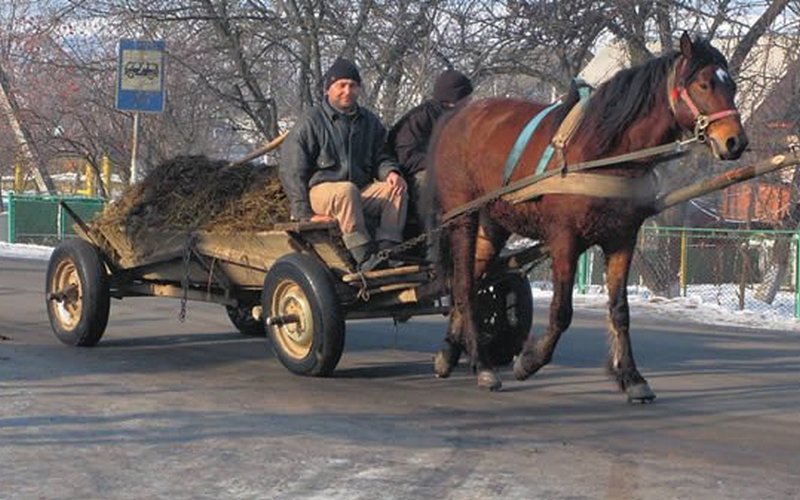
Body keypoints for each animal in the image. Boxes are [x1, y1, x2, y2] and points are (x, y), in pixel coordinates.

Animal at [428, 32, 748, 402]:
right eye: (703, 84)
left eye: (732, 85)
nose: (735, 141)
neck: (604, 152)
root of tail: (457, 118)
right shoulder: (564, 240)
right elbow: (562, 311)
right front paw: (530, 361)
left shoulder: (622, 239)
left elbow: (620, 311)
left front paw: (632, 377)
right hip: (463, 218)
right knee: (465, 287)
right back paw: (482, 366)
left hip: (493, 225)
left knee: (471, 281)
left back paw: (448, 352)